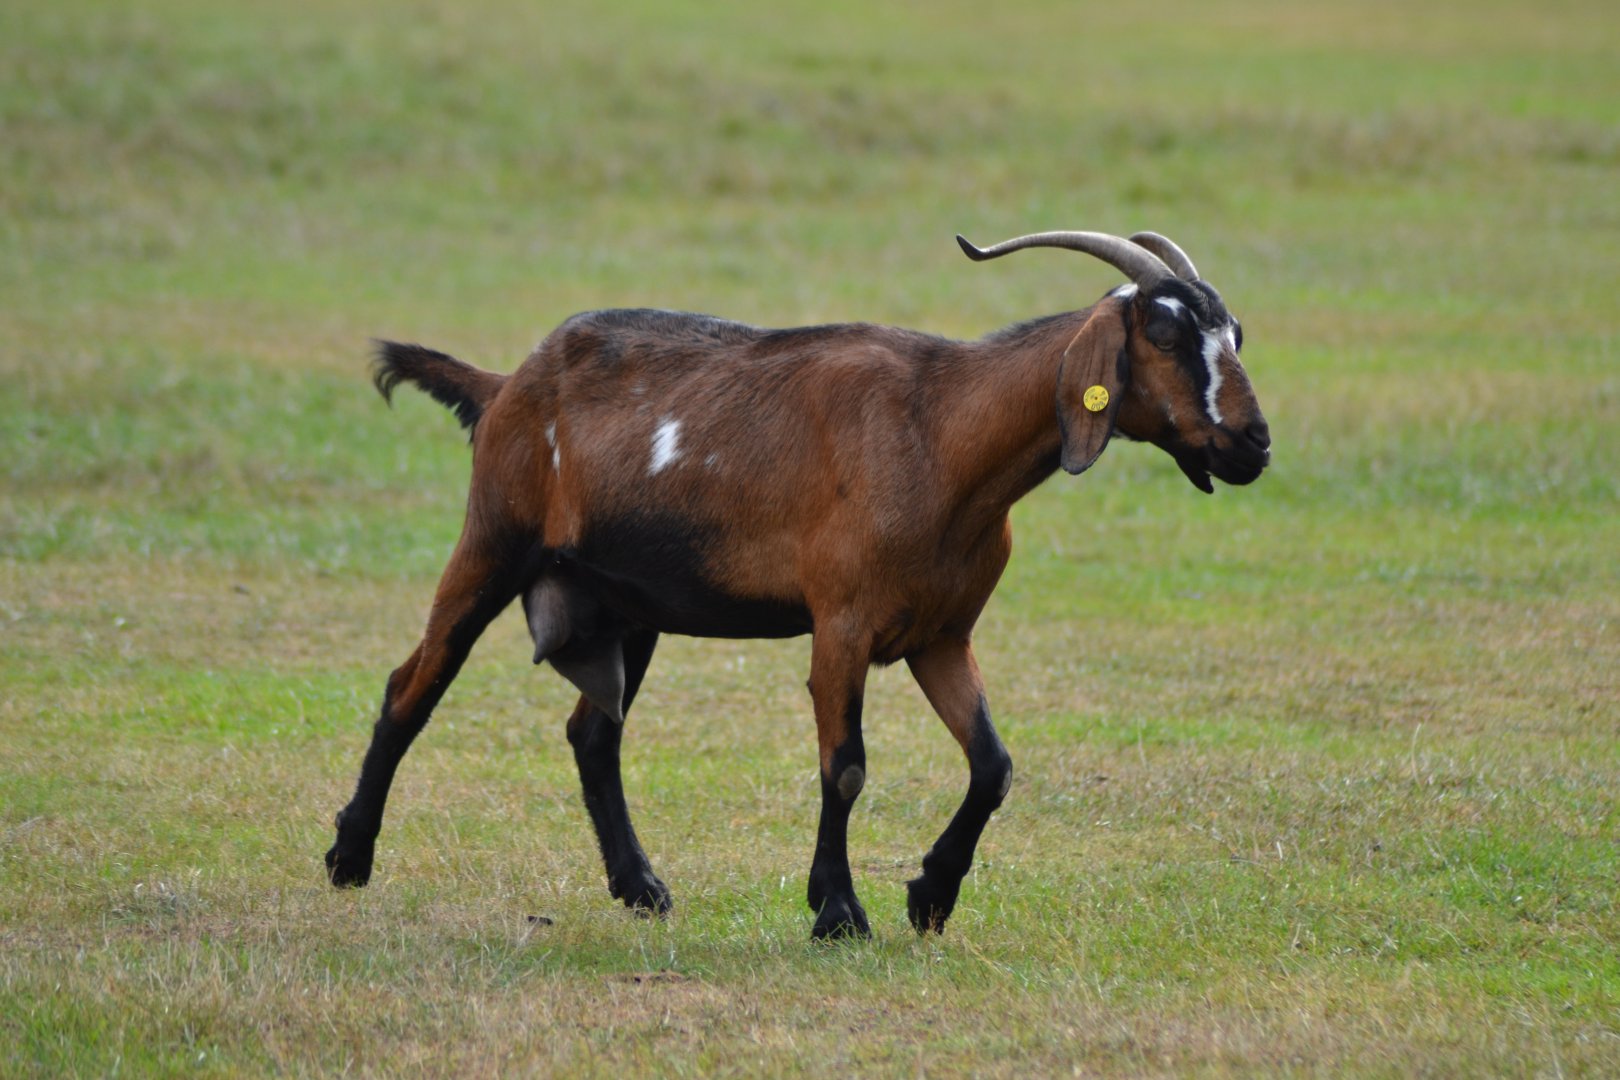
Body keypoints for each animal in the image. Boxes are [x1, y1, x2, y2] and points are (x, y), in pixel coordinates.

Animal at [325, 229, 1271, 939]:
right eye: (1167, 336)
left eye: (1235, 335)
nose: (1254, 445)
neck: (941, 433)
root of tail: (505, 385)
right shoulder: (841, 624)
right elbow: (845, 767)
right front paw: (839, 912)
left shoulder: (940, 635)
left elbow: (993, 765)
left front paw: (930, 895)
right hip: (493, 542)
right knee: (413, 686)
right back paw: (349, 859)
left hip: (629, 605)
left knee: (593, 732)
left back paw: (641, 888)